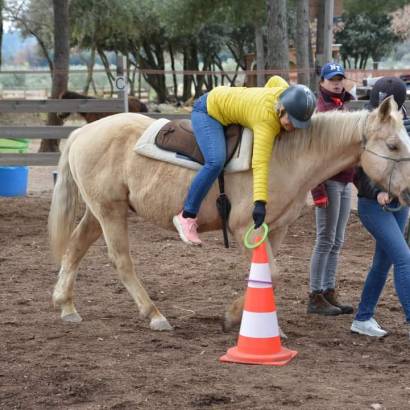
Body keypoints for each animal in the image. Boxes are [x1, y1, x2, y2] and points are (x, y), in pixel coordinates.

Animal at [49, 97, 410, 332]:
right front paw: (235, 318)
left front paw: (241, 318)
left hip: (100, 211)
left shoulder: (276, 229)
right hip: (109, 211)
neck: (286, 155)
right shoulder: (244, 227)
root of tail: (82, 133)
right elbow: (272, 273)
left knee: (76, 247)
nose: (406, 193)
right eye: (393, 145)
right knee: (121, 260)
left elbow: (266, 274)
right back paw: (154, 315)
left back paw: (66, 305)